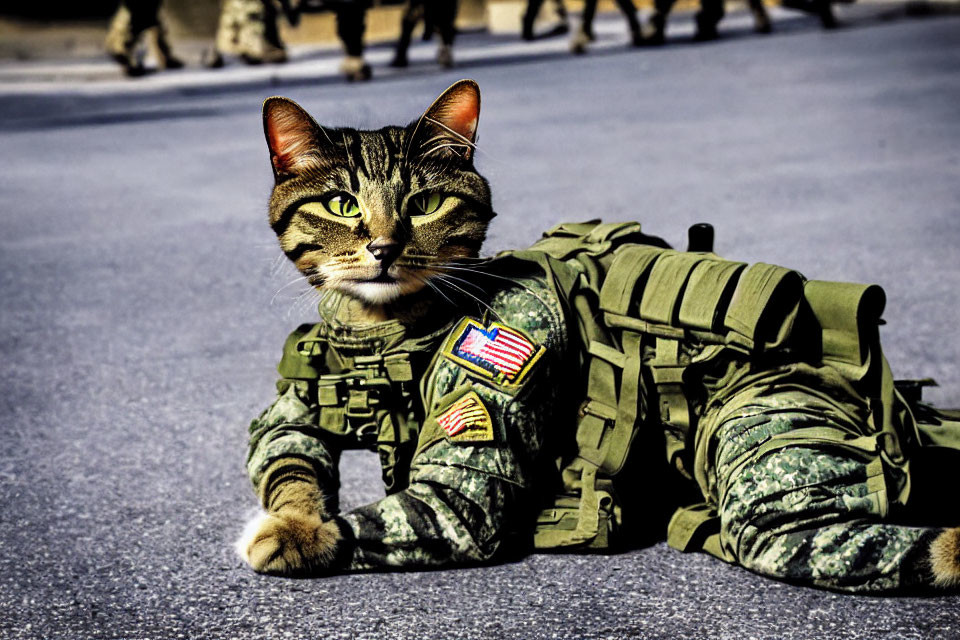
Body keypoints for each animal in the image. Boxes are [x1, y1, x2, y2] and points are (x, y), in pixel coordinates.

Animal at [238, 81, 960, 596]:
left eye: (424, 205)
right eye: (341, 206)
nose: (385, 248)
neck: (376, 331)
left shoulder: (461, 484)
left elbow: (386, 514)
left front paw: (296, 540)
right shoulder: (289, 411)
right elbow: (288, 461)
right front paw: (294, 517)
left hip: (770, 468)